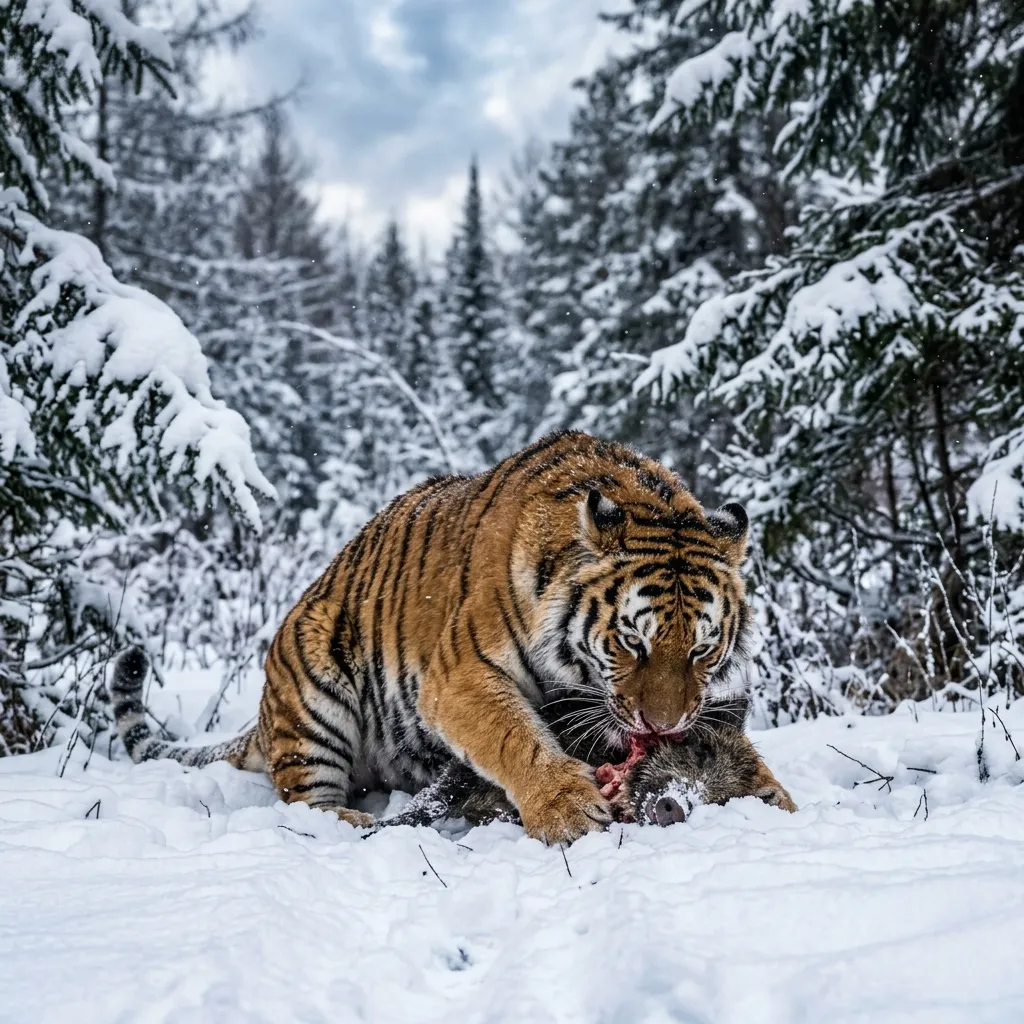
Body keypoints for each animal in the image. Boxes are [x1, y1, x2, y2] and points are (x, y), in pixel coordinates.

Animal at [110, 430, 795, 844]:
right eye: (633, 643)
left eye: (702, 649)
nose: (664, 727)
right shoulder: (459, 677)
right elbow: (515, 738)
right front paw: (566, 809)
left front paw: (778, 801)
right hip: (314, 680)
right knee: (303, 803)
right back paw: (348, 819)